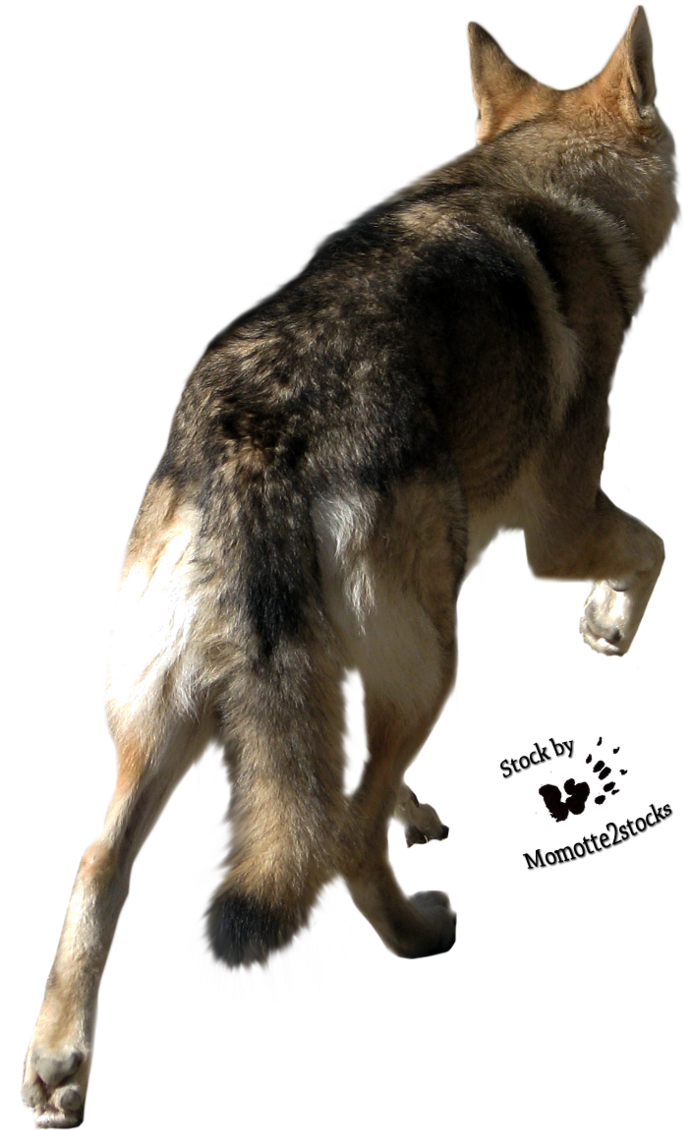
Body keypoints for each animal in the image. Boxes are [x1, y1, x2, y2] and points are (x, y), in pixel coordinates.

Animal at [21, 6, 680, 1125]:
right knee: (341, 840)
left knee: (103, 857)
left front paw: (417, 802)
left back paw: (59, 1066)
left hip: (171, 717)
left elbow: (353, 766)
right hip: (435, 669)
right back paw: (422, 934)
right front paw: (607, 627)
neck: (549, 174)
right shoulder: (555, 533)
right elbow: (651, 547)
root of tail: (255, 441)